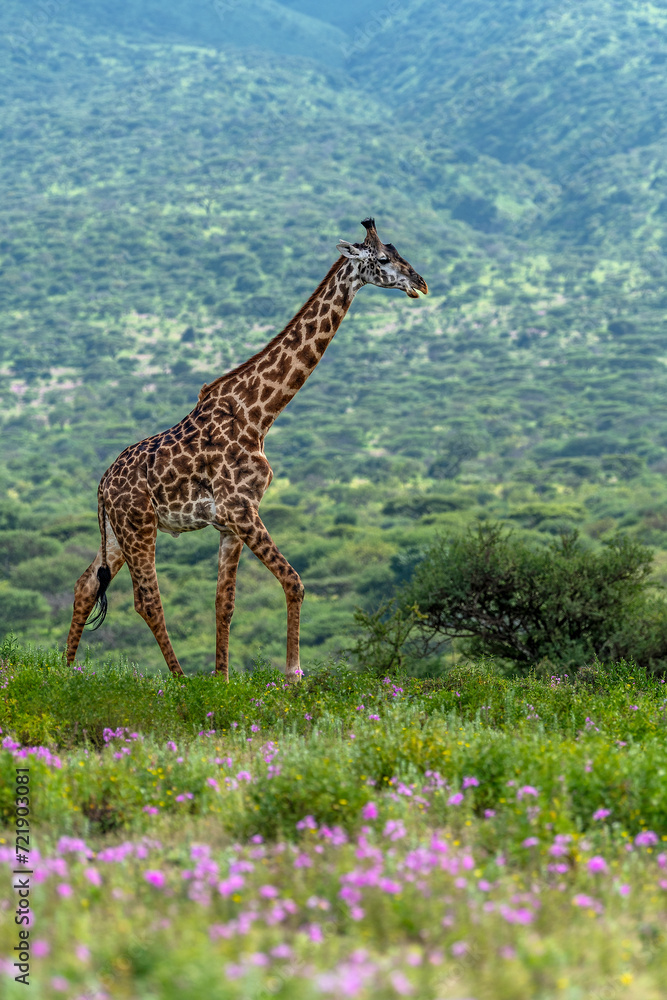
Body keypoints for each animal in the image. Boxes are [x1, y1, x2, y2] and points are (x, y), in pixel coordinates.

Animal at [65, 218, 428, 681]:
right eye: (382, 258)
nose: (420, 283)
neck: (259, 414)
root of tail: (102, 485)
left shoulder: (229, 523)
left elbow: (225, 603)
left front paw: (221, 678)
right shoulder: (242, 509)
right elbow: (293, 581)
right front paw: (292, 674)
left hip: (115, 531)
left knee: (86, 584)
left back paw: (64, 670)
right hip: (138, 525)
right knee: (146, 600)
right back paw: (179, 680)